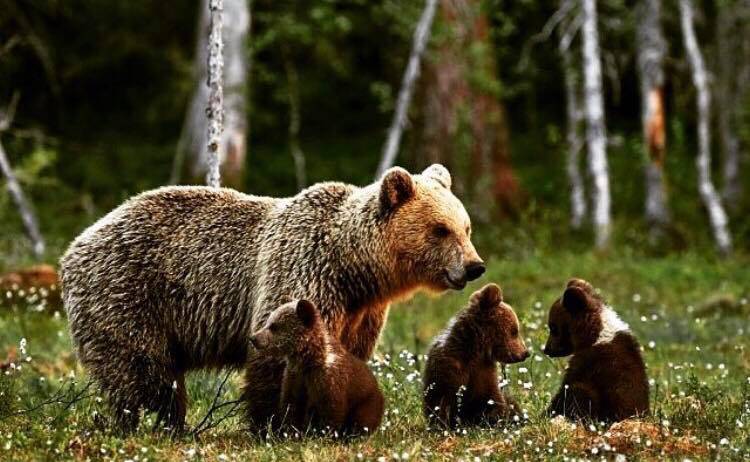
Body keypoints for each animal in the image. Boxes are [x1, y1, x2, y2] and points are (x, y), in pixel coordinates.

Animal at [57, 164, 482, 432]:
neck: (354, 268)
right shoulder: (305, 272)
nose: (474, 266)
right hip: (128, 294)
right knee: (141, 370)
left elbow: (348, 355)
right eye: (440, 229)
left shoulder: (361, 311)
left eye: (466, 227)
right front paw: (277, 424)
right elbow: (278, 355)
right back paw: (157, 423)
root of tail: (75, 246)